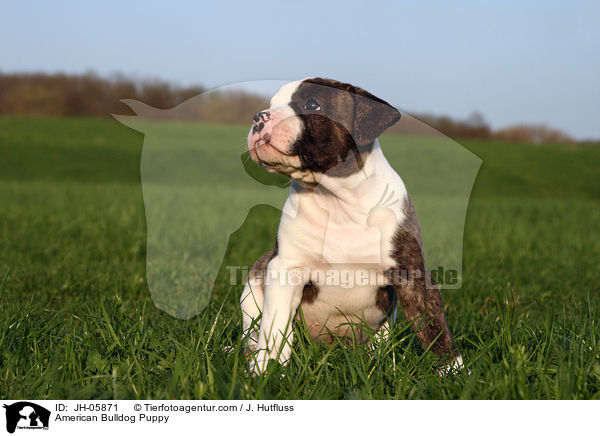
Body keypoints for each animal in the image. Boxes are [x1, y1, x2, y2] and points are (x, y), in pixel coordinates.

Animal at [241, 77, 462, 374]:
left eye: (313, 104)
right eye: (272, 103)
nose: (259, 117)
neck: (337, 200)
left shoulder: (412, 273)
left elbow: (434, 325)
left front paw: (455, 371)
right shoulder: (285, 268)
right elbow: (274, 328)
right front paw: (267, 370)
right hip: (253, 284)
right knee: (252, 332)